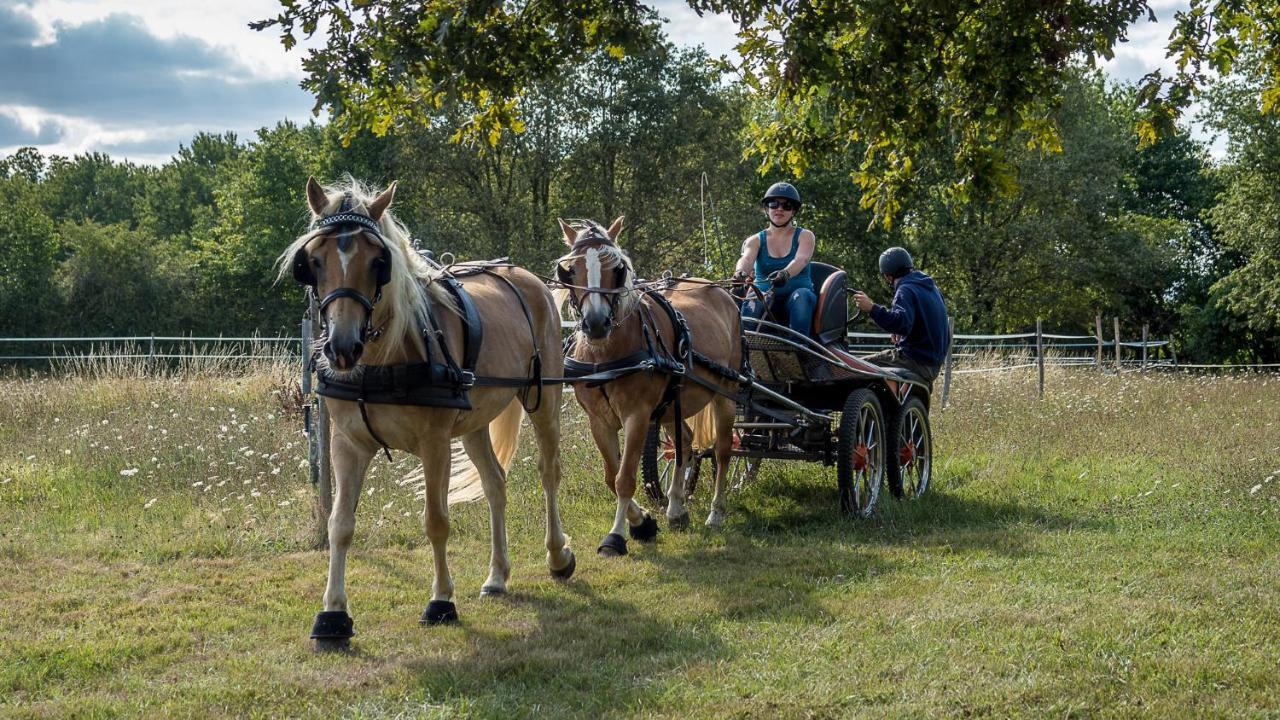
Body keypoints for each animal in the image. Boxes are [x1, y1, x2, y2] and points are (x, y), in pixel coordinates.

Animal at [285, 176, 581, 648]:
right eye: (313, 261)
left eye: (378, 261)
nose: (343, 348)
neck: (384, 358)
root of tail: (524, 276)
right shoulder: (347, 444)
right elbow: (339, 524)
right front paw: (332, 614)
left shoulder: (435, 442)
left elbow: (436, 521)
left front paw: (441, 601)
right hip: (475, 420)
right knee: (495, 484)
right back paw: (497, 576)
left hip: (543, 399)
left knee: (549, 471)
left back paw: (557, 556)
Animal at [552, 213, 742, 556]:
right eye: (569, 269)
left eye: (618, 268)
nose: (596, 323)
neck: (606, 354)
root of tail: (721, 291)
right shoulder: (599, 421)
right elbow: (611, 476)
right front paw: (644, 522)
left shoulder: (637, 416)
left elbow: (625, 478)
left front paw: (617, 535)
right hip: (669, 407)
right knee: (684, 443)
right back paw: (677, 508)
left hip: (727, 392)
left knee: (722, 451)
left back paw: (716, 512)